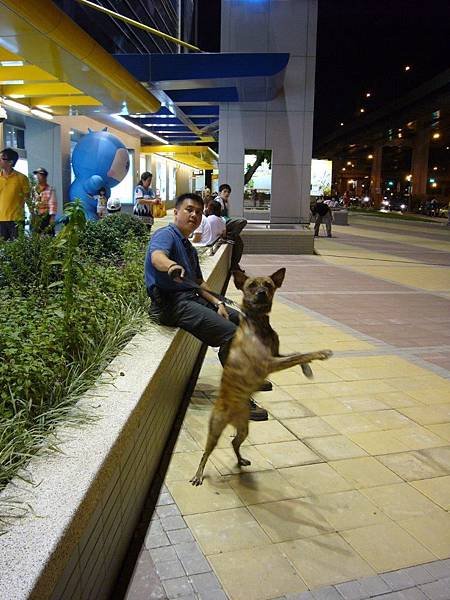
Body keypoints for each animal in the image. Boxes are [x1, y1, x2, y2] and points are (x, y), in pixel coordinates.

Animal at [188, 270, 332, 486]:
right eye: (251, 285)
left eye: (269, 285)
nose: (262, 293)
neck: (257, 323)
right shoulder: (269, 363)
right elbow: (300, 355)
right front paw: (321, 353)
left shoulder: (276, 354)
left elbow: (297, 353)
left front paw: (307, 369)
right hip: (215, 430)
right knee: (206, 453)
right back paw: (198, 474)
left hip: (243, 429)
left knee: (234, 442)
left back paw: (240, 461)